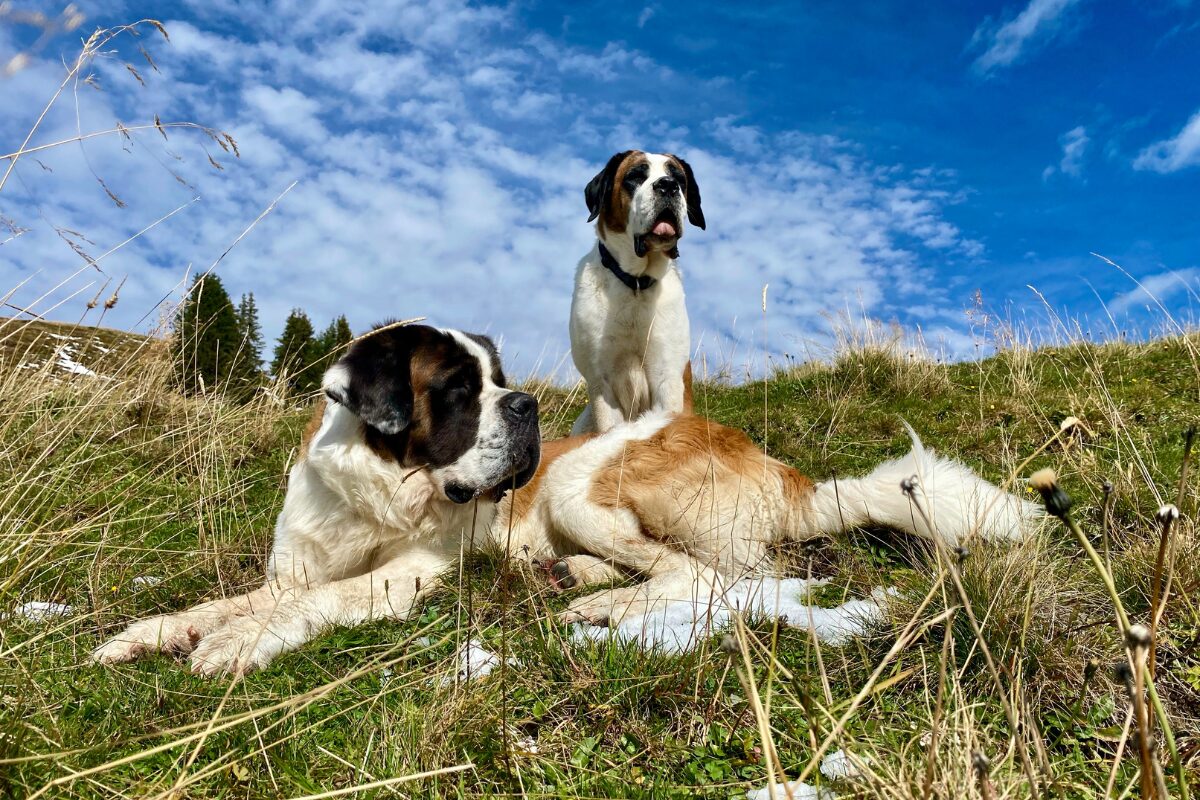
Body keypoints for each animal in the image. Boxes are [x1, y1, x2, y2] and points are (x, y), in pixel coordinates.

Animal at [93, 321, 1036, 671]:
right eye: (460, 389)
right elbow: (237, 597)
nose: (527, 404)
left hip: (583, 487)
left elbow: (319, 601)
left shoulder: (407, 574)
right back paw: (577, 582)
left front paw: (239, 645)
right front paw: (155, 631)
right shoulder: (296, 563)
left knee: (715, 575)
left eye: (497, 379)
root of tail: (780, 468)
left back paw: (607, 609)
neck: (378, 488)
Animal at [568, 149, 700, 438]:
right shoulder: (602, 383)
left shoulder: (667, 378)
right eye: (636, 176)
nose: (667, 185)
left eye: (679, 179)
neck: (636, 285)